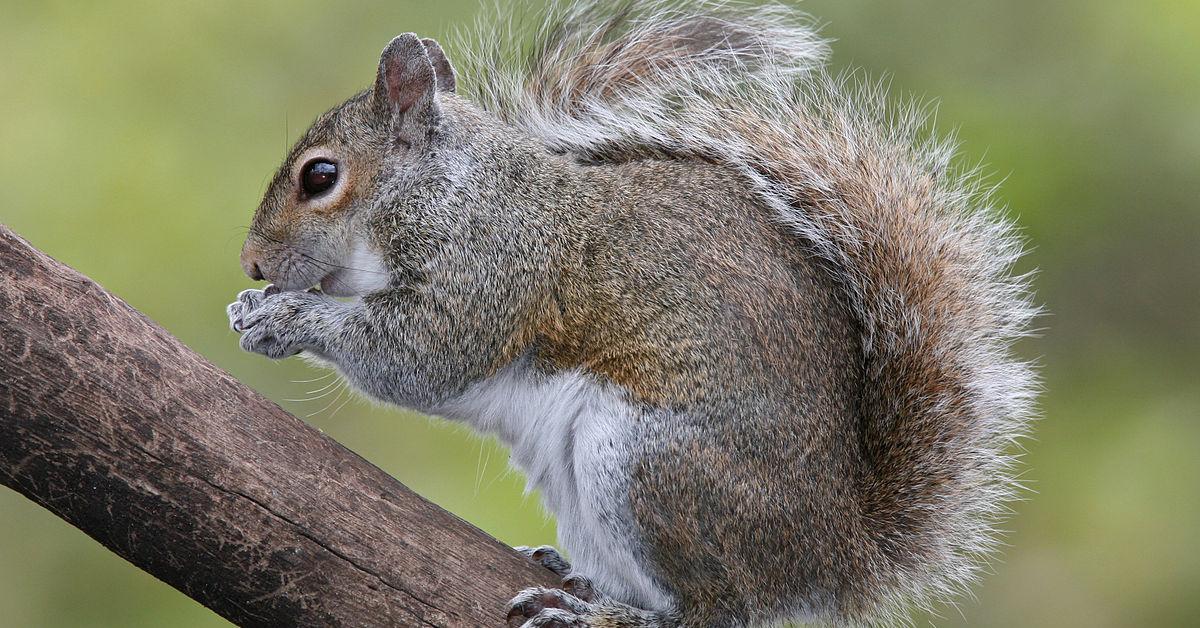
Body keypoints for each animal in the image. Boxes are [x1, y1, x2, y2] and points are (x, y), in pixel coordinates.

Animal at [226, 2, 1041, 624]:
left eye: (320, 177)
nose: (252, 264)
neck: (449, 189)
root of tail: (838, 558)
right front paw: (252, 307)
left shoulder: (491, 271)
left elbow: (416, 357)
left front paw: (285, 320)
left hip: (646, 465)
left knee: (722, 610)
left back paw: (604, 615)